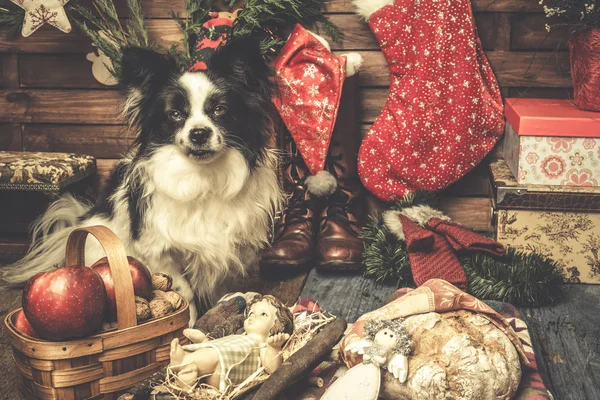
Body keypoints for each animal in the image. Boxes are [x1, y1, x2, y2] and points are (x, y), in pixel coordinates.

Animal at [1, 37, 284, 324]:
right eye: (175, 114)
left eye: (220, 110)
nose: (199, 133)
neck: (202, 176)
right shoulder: (159, 251)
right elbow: (184, 292)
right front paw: (186, 325)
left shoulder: (228, 250)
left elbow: (222, 289)